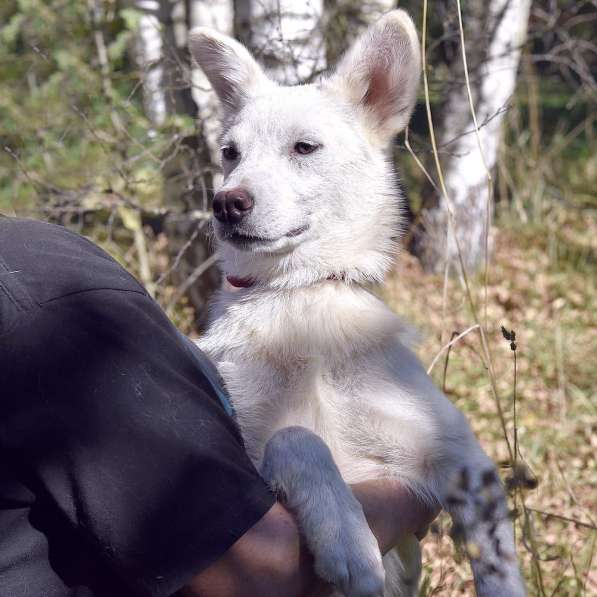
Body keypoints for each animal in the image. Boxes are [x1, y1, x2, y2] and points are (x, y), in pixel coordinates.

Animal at [189, 10, 524, 596]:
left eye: (304, 148)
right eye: (230, 153)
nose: (226, 203)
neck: (301, 298)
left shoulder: (462, 457)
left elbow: (496, 559)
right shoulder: (254, 452)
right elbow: (296, 436)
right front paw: (346, 535)